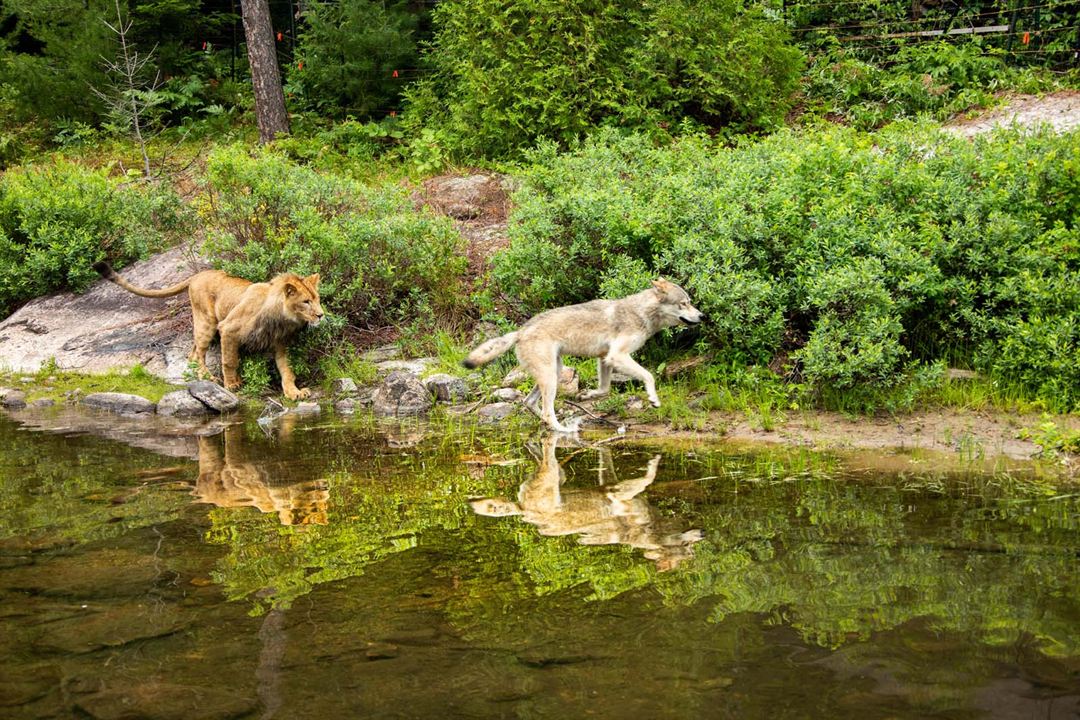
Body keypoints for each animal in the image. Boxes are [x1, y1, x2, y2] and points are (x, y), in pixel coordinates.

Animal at [93, 260, 321, 399]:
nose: (321, 314)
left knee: (193, 352)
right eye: (306, 301)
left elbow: (286, 369)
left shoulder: (279, 342)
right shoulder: (228, 328)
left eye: (317, 299)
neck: (281, 318)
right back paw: (209, 378)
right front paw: (231, 385)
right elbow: (229, 361)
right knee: (197, 353)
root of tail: (197, 275)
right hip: (207, 322)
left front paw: (294, 392)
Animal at [462, 278, 699, 431]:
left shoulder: (605, 358)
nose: (703, 316)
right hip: (551, 377)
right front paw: (653, 399)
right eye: (684, 303)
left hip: (555, 372)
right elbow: (649, 376)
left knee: (529, 403)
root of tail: (520, 332)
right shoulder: (617, 356)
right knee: (547, 411)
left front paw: (587, 395)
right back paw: (562, 430)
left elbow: (604, 389)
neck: (641, 312)